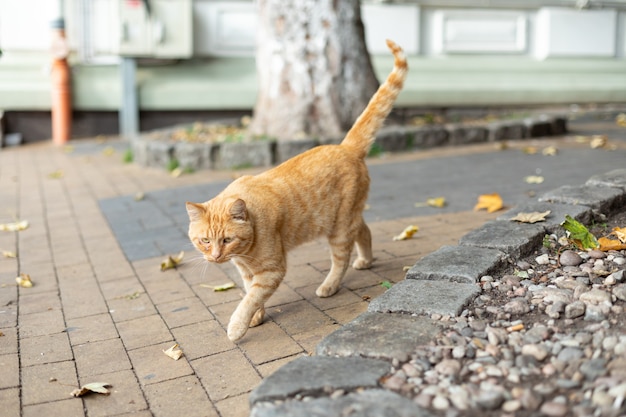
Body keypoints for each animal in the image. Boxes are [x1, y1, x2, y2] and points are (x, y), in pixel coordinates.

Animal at [186, 39, 404, 340]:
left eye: (227, 239)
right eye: (205, 241)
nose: (216, 256)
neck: (243, 253)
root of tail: (345, 146)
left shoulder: (272, 271)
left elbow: (249, 299)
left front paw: (238, 327)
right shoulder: (247, 272)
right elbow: (250, 294)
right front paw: (257, 318)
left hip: (338, 227)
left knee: (341, 258)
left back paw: (329, 286)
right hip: (345, 218)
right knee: (364, 229)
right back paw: (366, 260)